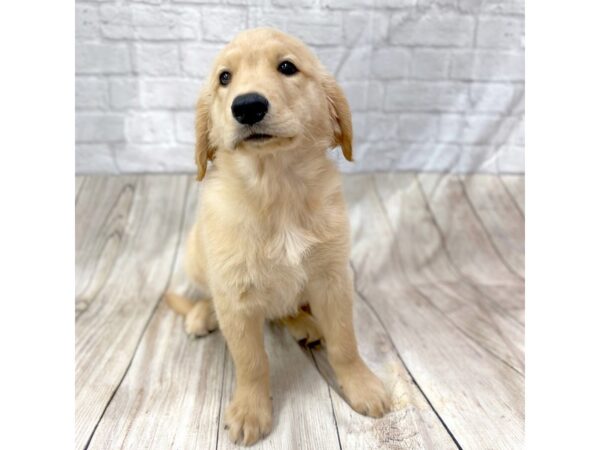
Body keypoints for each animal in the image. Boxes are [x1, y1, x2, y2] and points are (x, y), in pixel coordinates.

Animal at [164, 29, 392, 446]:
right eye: (224, 78)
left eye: (287, 67)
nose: (247, 106)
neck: (276, 189)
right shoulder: (235, 295)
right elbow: (252, 361)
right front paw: (250, 411)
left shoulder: (333, 279)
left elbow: (345, 342)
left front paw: (362, 386)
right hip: (194, 254)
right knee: (207, 295)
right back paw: (202, 314)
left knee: (287, 309)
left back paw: (305, 324)